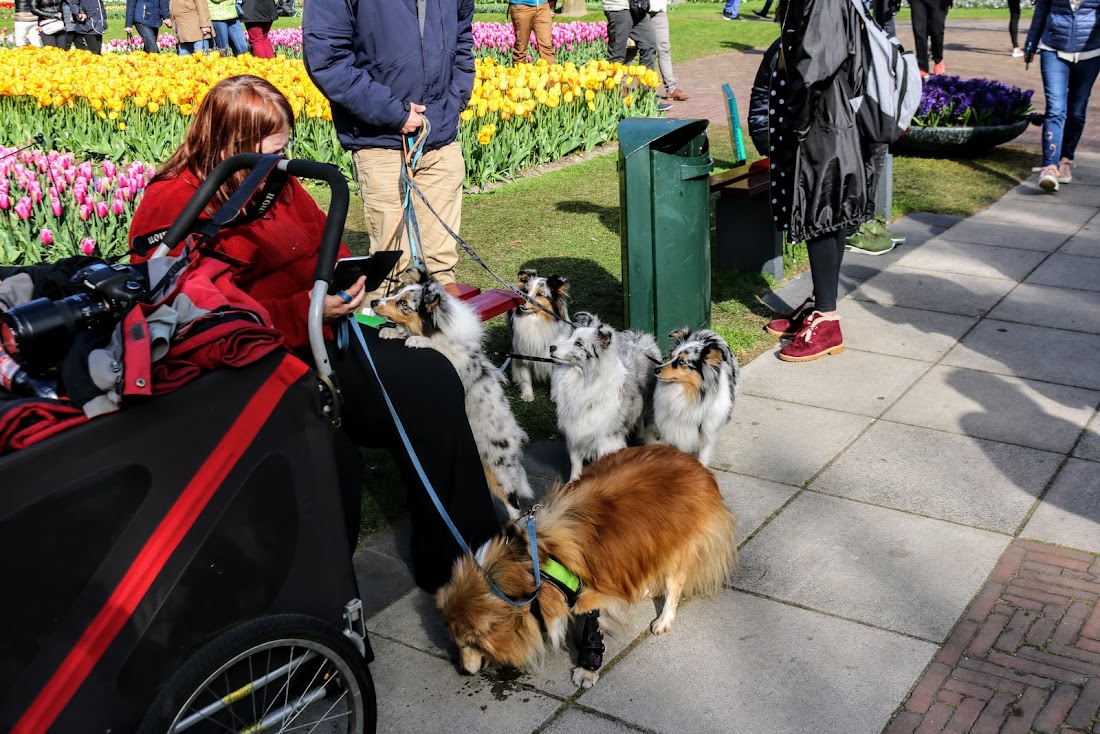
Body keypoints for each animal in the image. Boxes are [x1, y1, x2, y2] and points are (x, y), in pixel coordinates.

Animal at [371, 279, 534, 517]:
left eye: (403, 303)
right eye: (396, 294)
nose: (373, 302)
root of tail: (515, 438)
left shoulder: (458, 365)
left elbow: (443, 346)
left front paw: (418, 340)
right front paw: (392, 333)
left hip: (497, 468)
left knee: (513, 505)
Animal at [437, 442, 739, 691]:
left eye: (470, 642)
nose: (462, 671)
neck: (531, 569)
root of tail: (694, 463)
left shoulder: (589, 594)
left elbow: (591, 632)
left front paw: (587, 669)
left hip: (678, 547)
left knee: (674, 585)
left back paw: (664, 619)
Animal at [506, 268, 572, 402]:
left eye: (540, 294)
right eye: (526, 291)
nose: (521, 304)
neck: (536, 320)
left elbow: (554, 380)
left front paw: (555, 396)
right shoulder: (523, 353)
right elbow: (525, 378)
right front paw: (527, 395)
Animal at [554, 312, 655, 479]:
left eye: (579, 344)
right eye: (570, 337)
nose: (551, 347)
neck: (582, 380)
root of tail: (637, 336)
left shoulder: (606, 440)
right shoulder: (574, 433)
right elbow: (575, 462)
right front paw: (572, 482)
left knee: (640, 417)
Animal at [651, 327, 739, 464]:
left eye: (682, 362)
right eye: (671, 357)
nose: (656, 369)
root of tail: (706, 331)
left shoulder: (707, 431)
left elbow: (703, 456)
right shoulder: (679, 430)